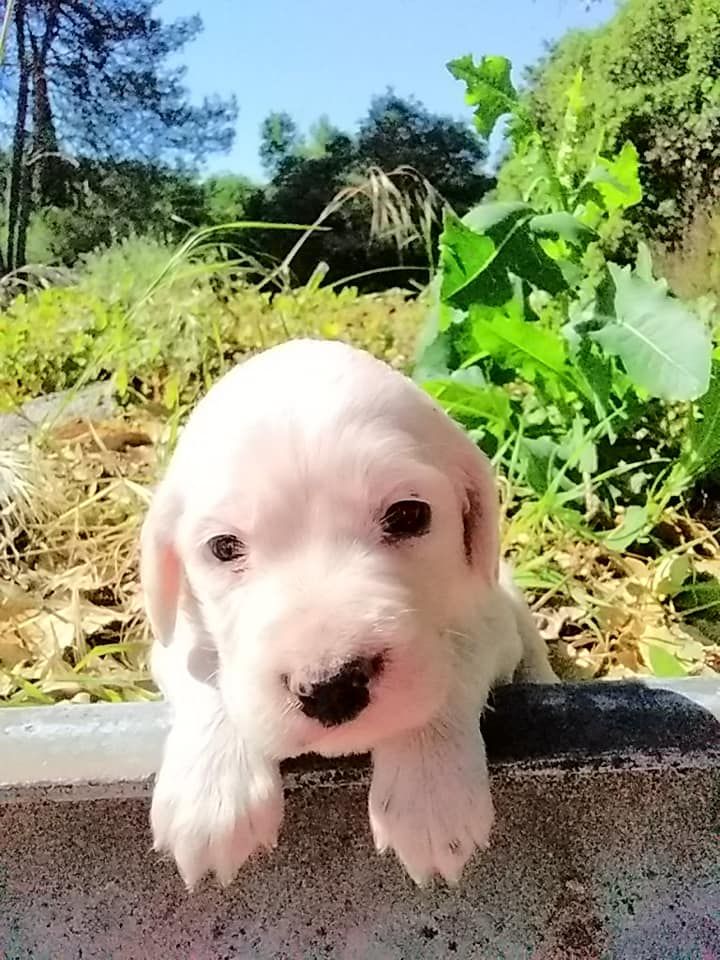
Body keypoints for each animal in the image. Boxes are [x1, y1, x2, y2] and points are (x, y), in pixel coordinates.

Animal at [141, 340, 556, 892]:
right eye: (223, 547)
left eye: (409, 515)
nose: (331, 688)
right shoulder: (177, 637)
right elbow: (204, 668)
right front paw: (212, 795)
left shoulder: (487, 619)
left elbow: (452, 663)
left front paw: (430, 793)